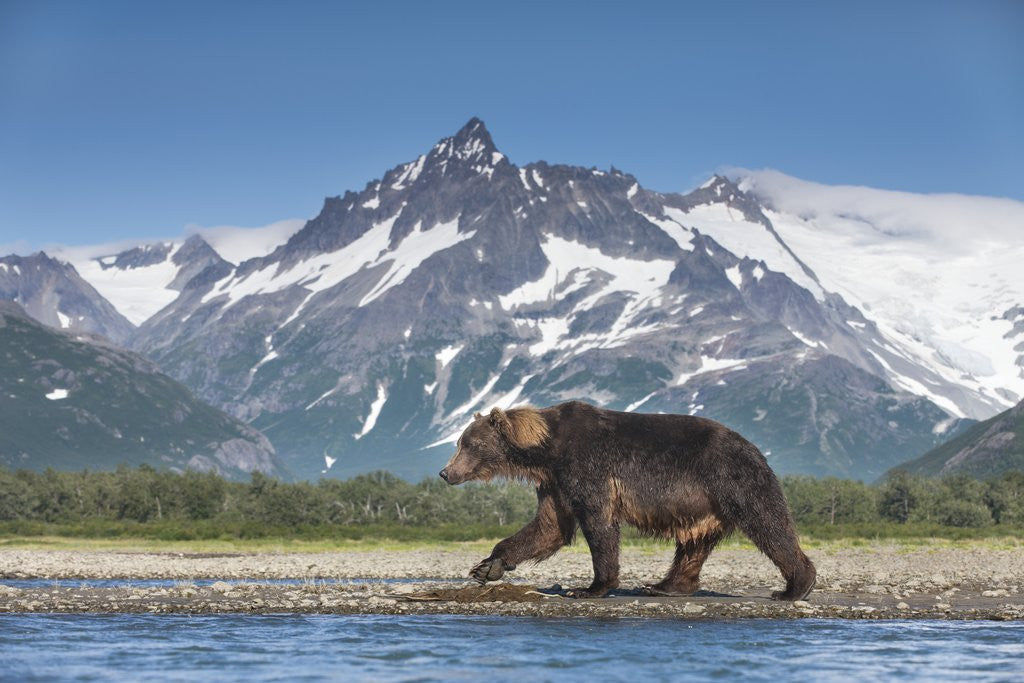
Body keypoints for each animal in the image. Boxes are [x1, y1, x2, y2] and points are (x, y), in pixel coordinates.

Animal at [439, 400, 816, 600]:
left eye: (469, 444)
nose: (445, 472)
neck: (545, 449)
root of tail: (754, 446)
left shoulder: (587, 466)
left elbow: (598, 522)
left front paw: (590, 588)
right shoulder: (555, 482)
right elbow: (549, 527)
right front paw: (488, 566)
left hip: (733, 479)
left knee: (767, 523)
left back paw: (795, 586)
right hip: (705, 504)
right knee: (694, 544)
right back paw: (665, 586)